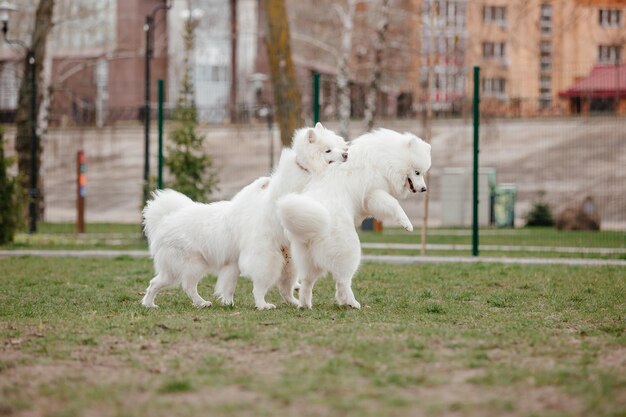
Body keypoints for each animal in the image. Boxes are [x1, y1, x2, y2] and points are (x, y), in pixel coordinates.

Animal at [140, 122, 348, 308]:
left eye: (339, 146)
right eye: (328, 151)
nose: (346, 154)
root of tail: (164, 219)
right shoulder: (264, 254)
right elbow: (260, 285)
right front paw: (262, 304)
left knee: (156, 283)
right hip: (191, 265)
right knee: (185, 286)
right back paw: (198, 303)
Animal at [276, 129, 428, 308]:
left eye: (422, 173)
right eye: (417, 172)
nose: (424, 189)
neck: (386, 159)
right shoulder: (373, 194)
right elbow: (394, 204)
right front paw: (407, 224)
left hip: (307, 260)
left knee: (307, 282)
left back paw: (305, 305)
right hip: (349, 251)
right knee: (343, 281)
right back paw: (351, 302)